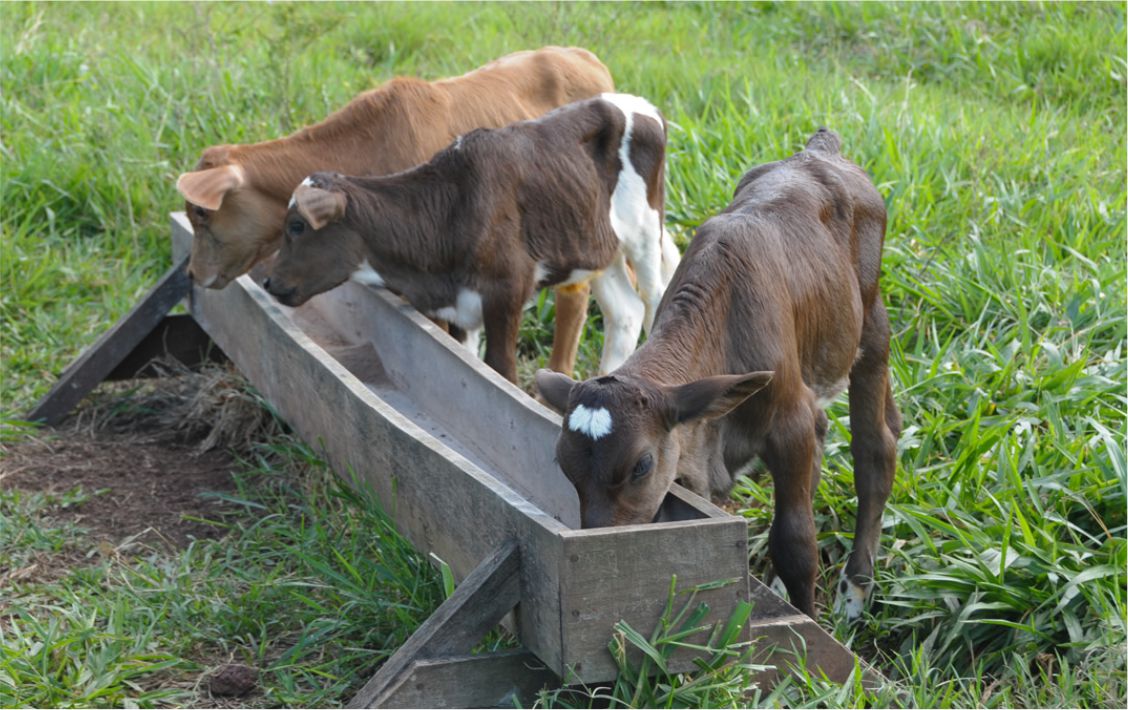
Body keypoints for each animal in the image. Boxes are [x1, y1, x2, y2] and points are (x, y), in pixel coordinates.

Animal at [261, 94, 676, 383]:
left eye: (296, 226)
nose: (269, 281)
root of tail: (641, 105)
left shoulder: (507, 291)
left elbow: (501, 372)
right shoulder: (457, 308)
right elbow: (472, 368)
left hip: (645, 233)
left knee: (655, 299)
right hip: (596, 248)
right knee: (625, 311)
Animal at [534, 128, 897, 618]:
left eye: (641, 466)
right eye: (563, 462)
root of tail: (819, 150)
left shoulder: (790, 421)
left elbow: (796, 543)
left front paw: (805, 620)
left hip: (870, 328)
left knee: (876, 449)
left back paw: (855, 587)